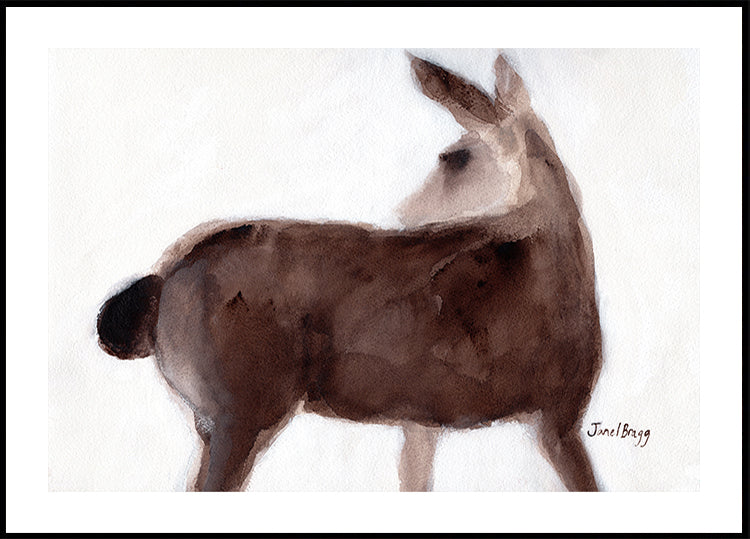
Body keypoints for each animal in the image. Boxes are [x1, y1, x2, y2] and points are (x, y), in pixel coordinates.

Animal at [97, 51, 602, 492]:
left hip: (213, 420)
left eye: (454, 157)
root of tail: (160, 283)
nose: (404, 214)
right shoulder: (558, 418)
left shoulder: (422, 419)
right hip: (240, 413)